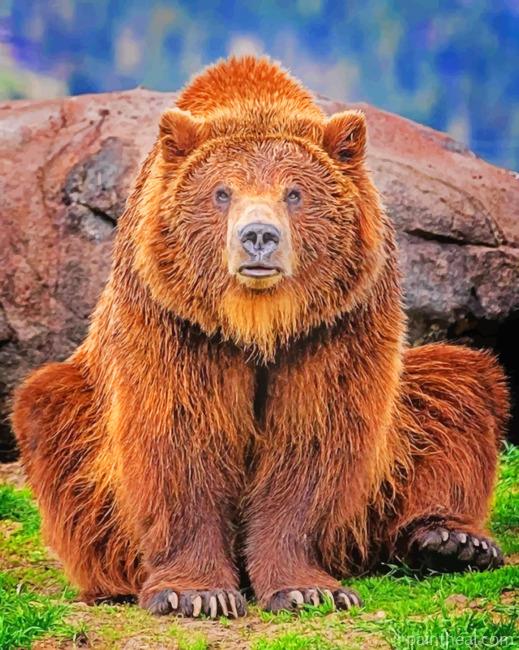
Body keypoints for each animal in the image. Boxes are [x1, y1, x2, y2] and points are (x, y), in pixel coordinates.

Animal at [12, 56, 509, 618]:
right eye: (221, 192)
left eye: (294, 193)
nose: (258, 236)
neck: (259, 324)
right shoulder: (179, 325)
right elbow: (183, 438)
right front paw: (197, 594)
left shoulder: (334, 326)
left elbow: (311, 441)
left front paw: (309, 588)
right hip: (86, 410)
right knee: (51, 410)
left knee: (456, 387)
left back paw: (451, 540)